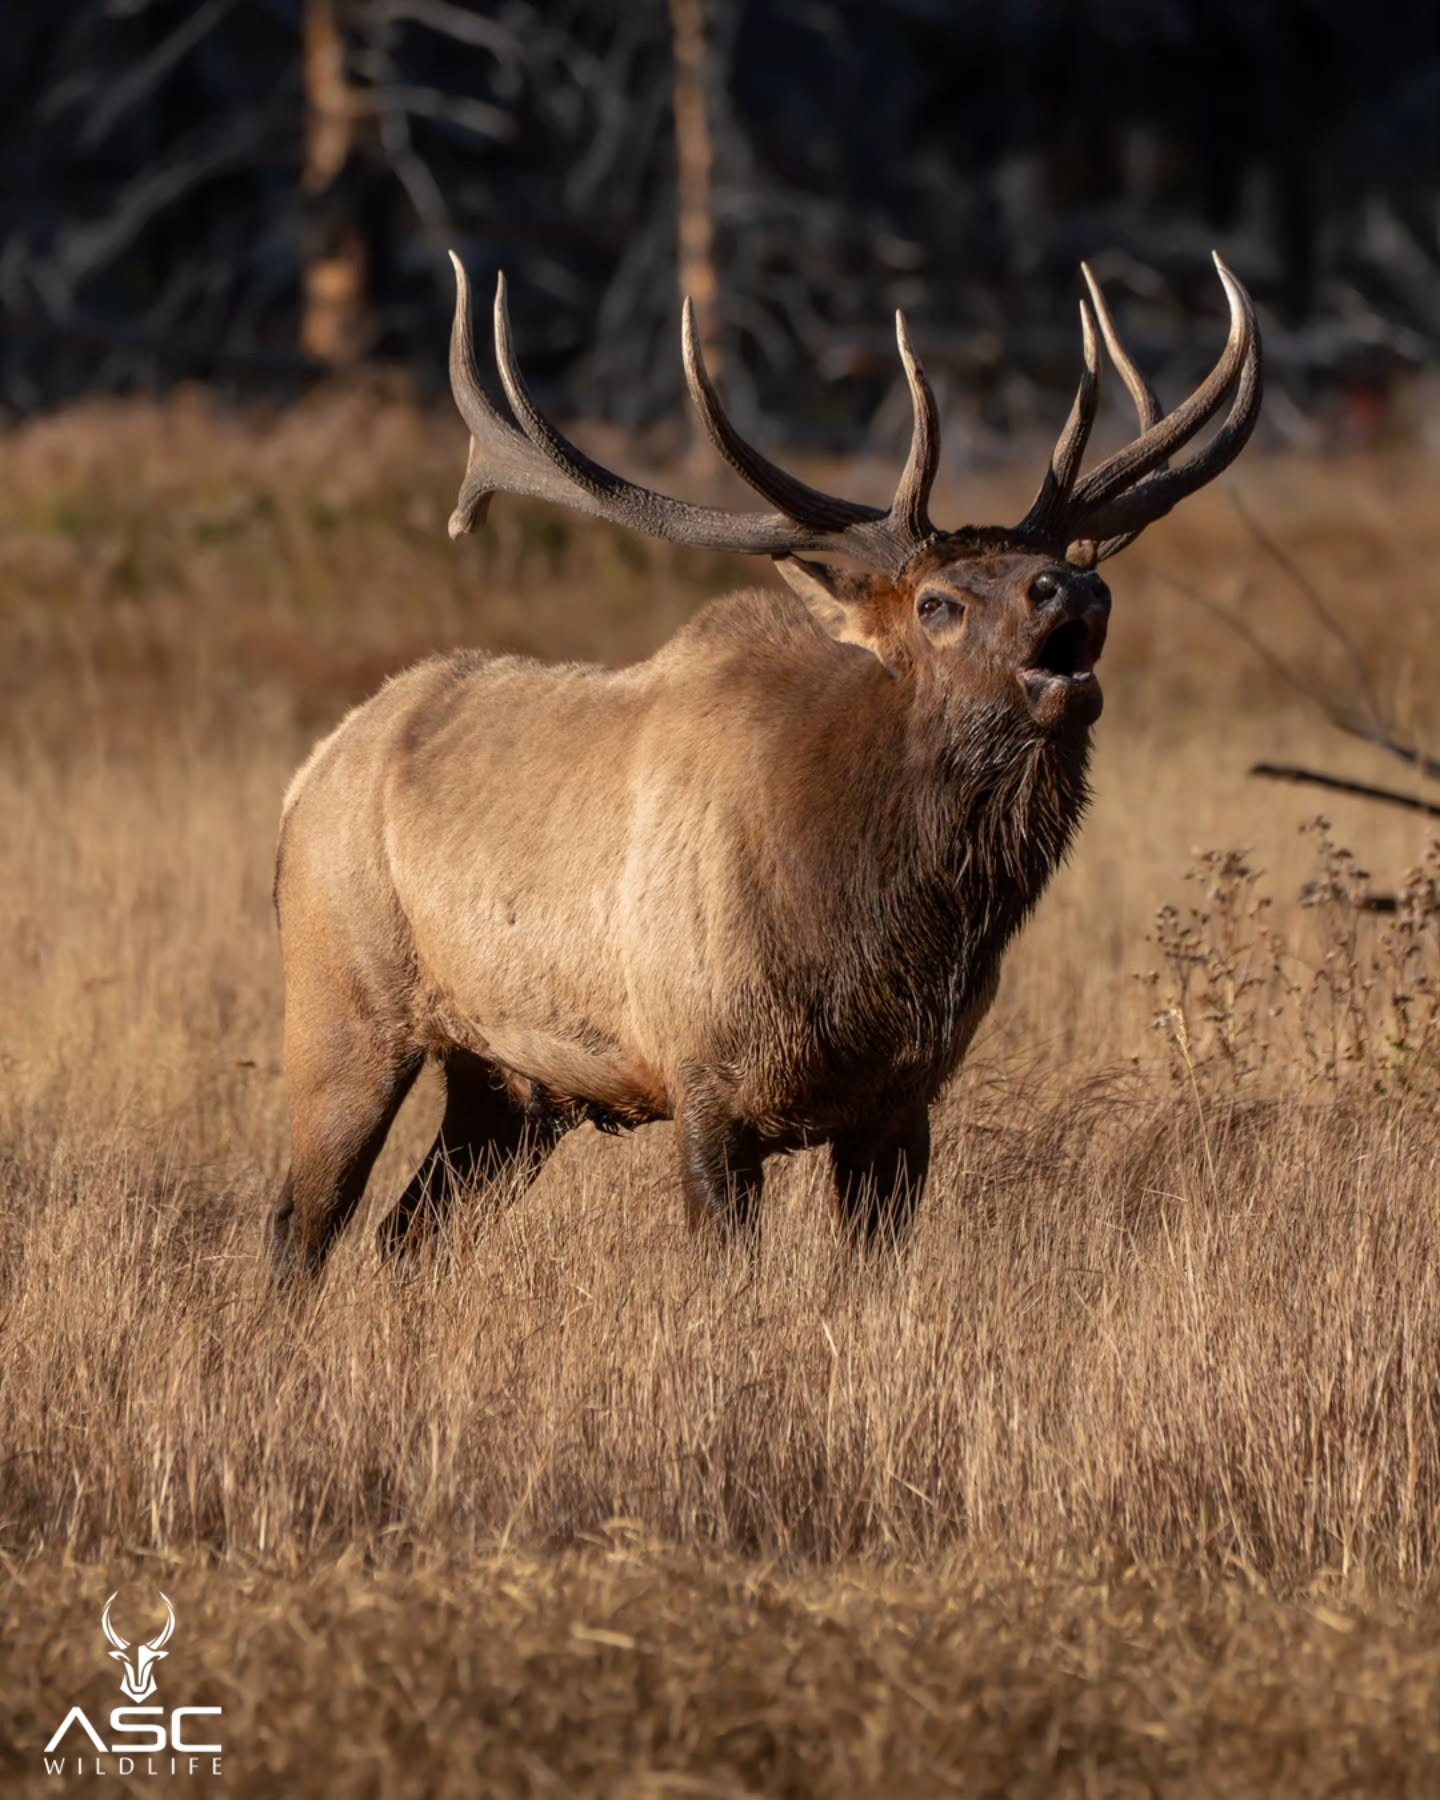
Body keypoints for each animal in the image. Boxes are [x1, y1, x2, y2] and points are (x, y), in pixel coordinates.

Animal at [270, 251, 1261, 1283]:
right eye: (937, 603)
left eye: (1063, 570)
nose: (1074, 587)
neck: (878, 931)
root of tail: (311, 773)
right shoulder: (705, 1077)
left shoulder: (901, 1101)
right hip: (341, 1003)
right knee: (302, 1223)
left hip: (510, 1084)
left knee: (404, 1232)